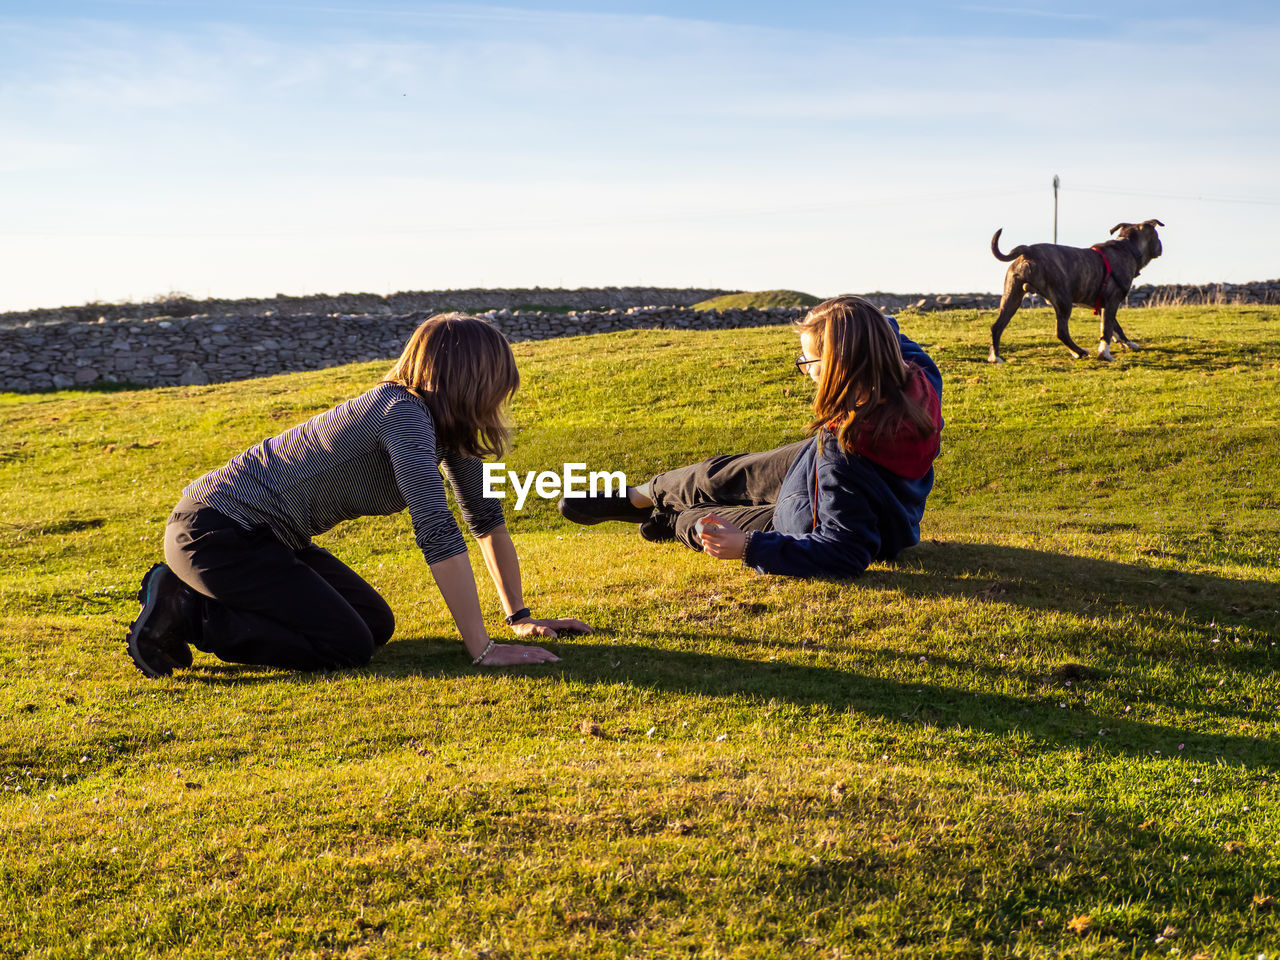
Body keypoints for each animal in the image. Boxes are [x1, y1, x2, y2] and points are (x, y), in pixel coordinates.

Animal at [983, 220, 1167, 363]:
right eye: (1157, 236)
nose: (1161, 247)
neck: (1127, 247)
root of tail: (1028, 250)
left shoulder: (1104, 305)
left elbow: (1115, 326)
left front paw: (1127, 343)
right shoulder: (1112, 302)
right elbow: (1107, 330)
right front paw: (1105, 354)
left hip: (1012, 297)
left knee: (997, 327)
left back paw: (995, 357)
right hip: (1063, 300)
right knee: (1062, 332)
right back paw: (1079, 352)